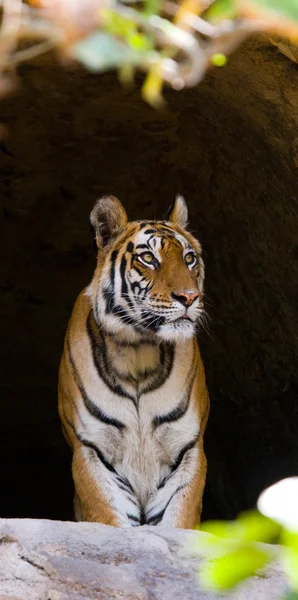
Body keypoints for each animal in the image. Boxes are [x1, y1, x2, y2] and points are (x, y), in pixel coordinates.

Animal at [57, 195, 208, 528]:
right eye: (149, 258)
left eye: (189, 258)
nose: (189, 297)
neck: (140, 352)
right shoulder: (92, 449)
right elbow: (108, 519)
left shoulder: (186, 448)